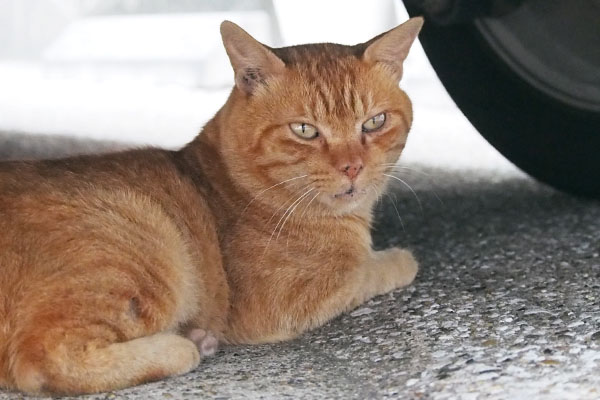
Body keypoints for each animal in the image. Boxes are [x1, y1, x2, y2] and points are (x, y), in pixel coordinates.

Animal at [0, 18, 422, 394]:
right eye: (305, 130)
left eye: (374, 122)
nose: (352, 167)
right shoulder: (291, 298)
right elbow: (370, 268)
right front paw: (400, 258)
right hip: (141, 245)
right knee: (43, 361)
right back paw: (183, 346)